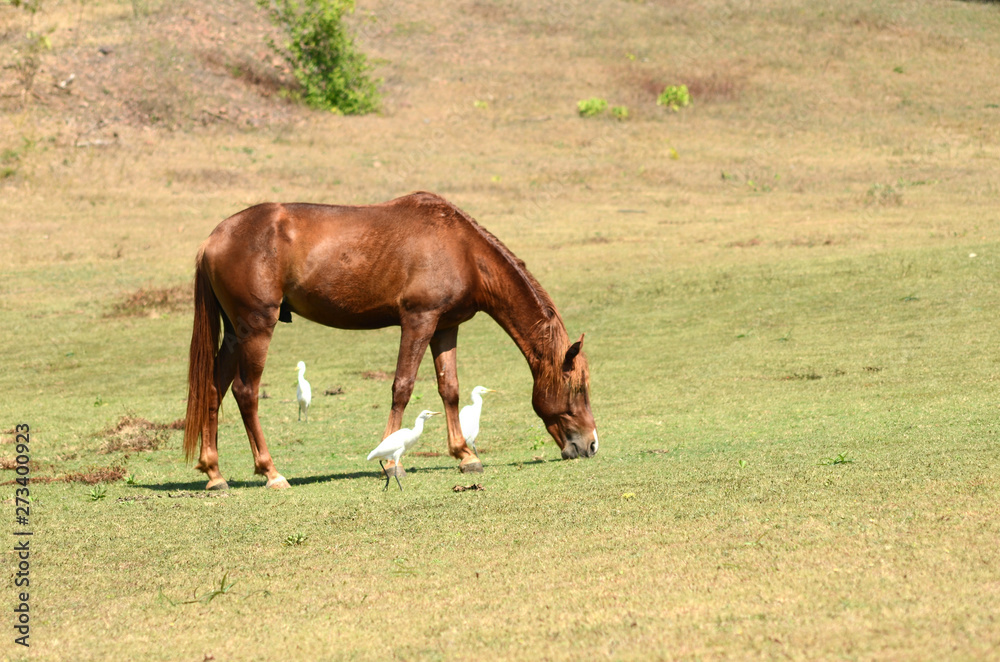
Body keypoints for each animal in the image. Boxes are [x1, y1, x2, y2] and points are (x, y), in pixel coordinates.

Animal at [183, 191, 598, 490]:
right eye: (577, 388)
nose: (591, 444)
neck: (462, 248)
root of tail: (213, 239)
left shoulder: (445, 327)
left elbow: (449, 388)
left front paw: (465, 455)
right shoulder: (418, 320)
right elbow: (403, 386)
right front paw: (389, 462)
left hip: (234, 334)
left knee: (212, 390)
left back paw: (214, 474)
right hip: (256, 328)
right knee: (245, 393)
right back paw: (271, 472)